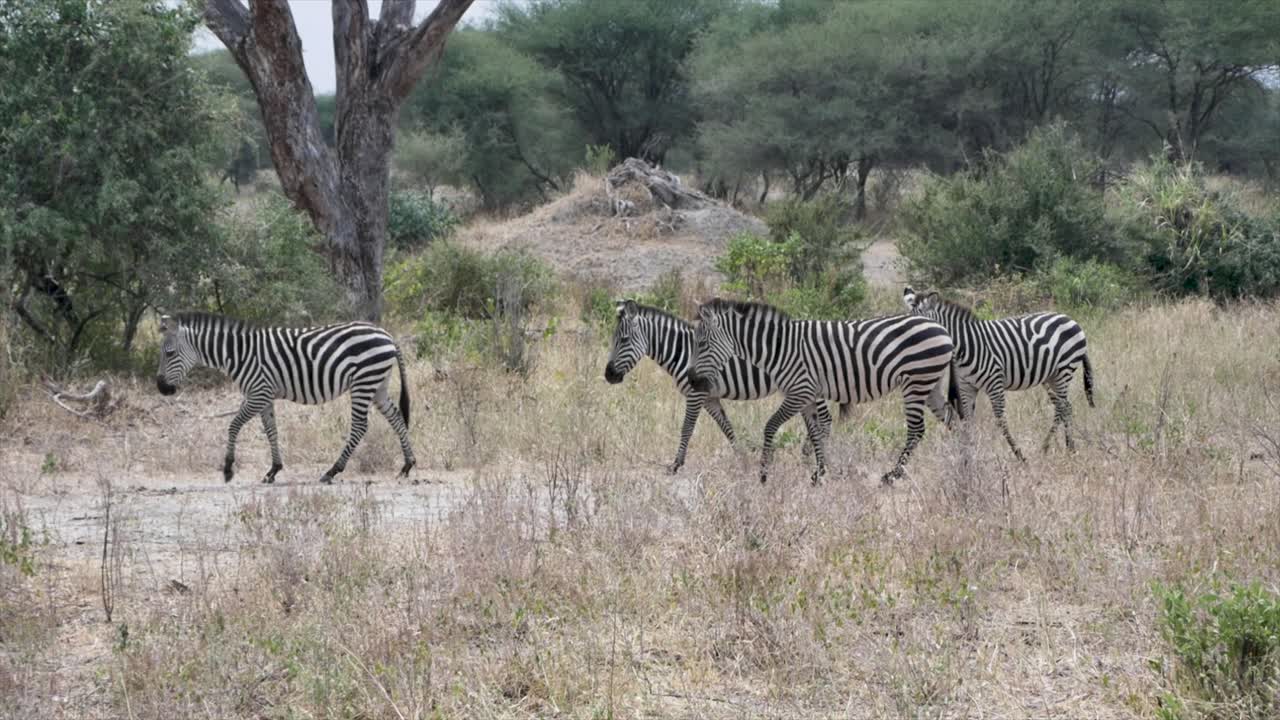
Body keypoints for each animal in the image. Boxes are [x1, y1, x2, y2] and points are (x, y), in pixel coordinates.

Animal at [155, 313, 416, 485]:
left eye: (170, 353)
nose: (161, 388)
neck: (238, 354)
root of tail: (387, 335)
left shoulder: (258, 393)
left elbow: (234, 425)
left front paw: (228, 469)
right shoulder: (263, 396)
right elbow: (271, 430)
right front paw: (274, 470)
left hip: (364, 381)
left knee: (360, 426)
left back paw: (332, 471)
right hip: (377, 384)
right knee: (395, 416)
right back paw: (407, 465)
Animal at [604, 300, 836, 473]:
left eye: (623, 340)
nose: (608, 375)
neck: (682, 352)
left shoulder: (695, 394)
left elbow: (687, 428)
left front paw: (676, 464)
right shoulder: (709, 398)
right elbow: (727, 428)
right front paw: (742, 460)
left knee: (825, 420)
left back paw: (812, 458)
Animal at [689, 298, 956, 485]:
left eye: (701, 344)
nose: (692, 380)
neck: (779, 349)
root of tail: (942, 329)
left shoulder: (799, 392)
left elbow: (771, 426)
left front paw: (764, 474)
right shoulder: (808, 397)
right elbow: (816, 433)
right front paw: (819, 475)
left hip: (916, 381)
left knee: (916, 430)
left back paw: (891, 475)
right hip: (930, 384)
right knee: (952, 420)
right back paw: (958, 459)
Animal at [902, 287, 1095, 460]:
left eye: (921, 325)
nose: (907, 351)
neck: (966, 346)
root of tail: (1069, 319)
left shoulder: (994, 383)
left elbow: (1001, 420)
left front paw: (1019, 455)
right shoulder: (967, 386)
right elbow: (968, 420)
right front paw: (969, 455)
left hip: (1064, 370)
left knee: (1062, 407)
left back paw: (1050, 448)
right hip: (1050, 377)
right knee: (1066, 406)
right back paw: (1069, 448)